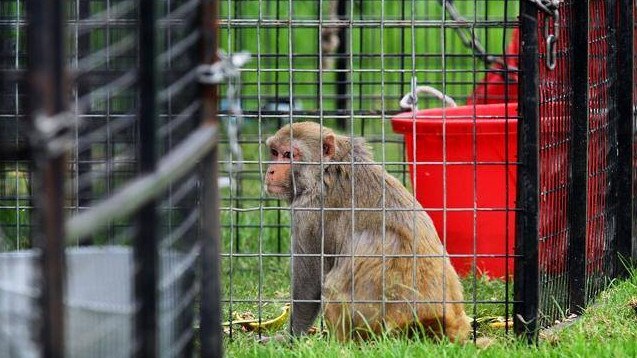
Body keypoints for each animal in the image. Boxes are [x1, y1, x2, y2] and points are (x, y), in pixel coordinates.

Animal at [262, 121, 468, 342]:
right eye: (274, 152)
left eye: (289, 155)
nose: (270, 171)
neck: (326, 170)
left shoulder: (308, 211)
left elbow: (308, 286)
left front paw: (290, 338)